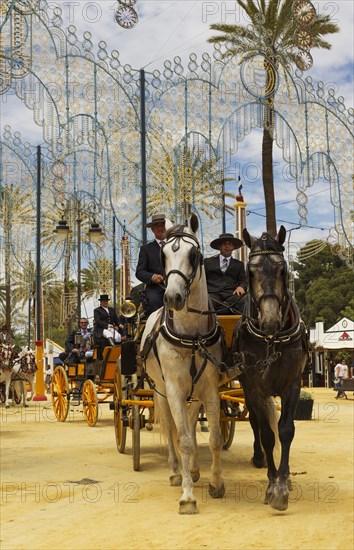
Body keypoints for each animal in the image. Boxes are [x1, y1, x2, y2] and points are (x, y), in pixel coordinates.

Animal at [140, 213, 225, 516]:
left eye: (194, 254)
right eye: (163, 255)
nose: (172, 298)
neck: (193, 335)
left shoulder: (210, 388)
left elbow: (213, 438)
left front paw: (216, 483)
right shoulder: (174, 389)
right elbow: (184, 441)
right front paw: (188, 497)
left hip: (195, 393)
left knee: (188, 422)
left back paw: (195, 470)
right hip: (161, 391)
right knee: (172, 429)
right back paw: (177, 471)